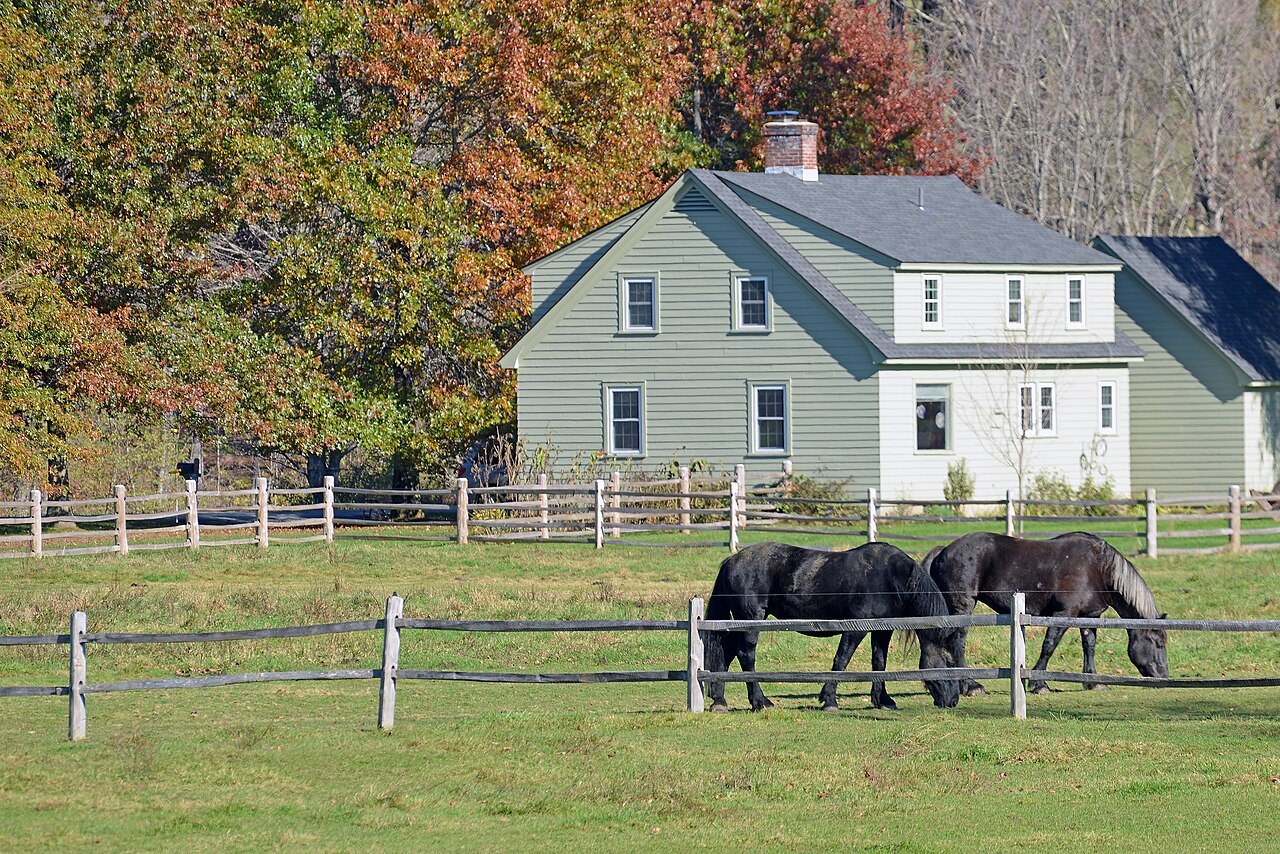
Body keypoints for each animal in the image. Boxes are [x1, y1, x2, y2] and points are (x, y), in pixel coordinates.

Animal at [704, 541, 963, 712]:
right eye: (949, 662)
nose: (953, 701)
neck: (892, 579)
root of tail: (731, 560)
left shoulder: (882, 630)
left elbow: (879, 662)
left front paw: (883, 700)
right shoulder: (856, 629)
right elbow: (841, 661)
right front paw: (829, 701)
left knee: (726, 653)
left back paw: (720, 702)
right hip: (751, 619)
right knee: (745, 655)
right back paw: (760, 702)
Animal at [925, 532, 1168, 695]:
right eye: (1158, 643)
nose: (1163, 676)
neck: (1097, 568)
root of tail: (943, 551)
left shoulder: (1089, 616)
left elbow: (1089, 646)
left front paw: (1093, 681)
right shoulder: (1064, 614)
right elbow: (1050, 645)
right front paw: (1039, 683)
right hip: (963, 607)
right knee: (957, 643)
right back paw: (970, 685)